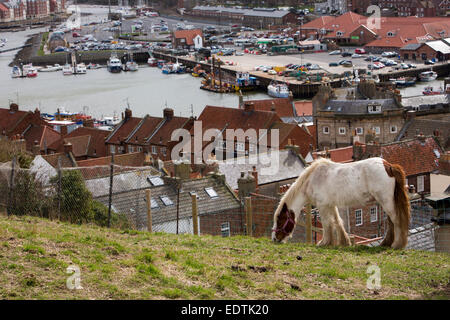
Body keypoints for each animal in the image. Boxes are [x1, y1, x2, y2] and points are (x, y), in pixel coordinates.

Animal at [270, 158, 412, 250]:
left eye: (280, 220)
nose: (274, 239)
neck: (312, 180)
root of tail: (388, 166)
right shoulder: (330, 205)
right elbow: (337, 222)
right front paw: (344, 242)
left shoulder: (322, 205)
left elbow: (327, 224)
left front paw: (324, 242)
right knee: (391, 222)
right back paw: (386, 243)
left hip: (385, 200)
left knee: (396, 220)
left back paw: (396, 245)